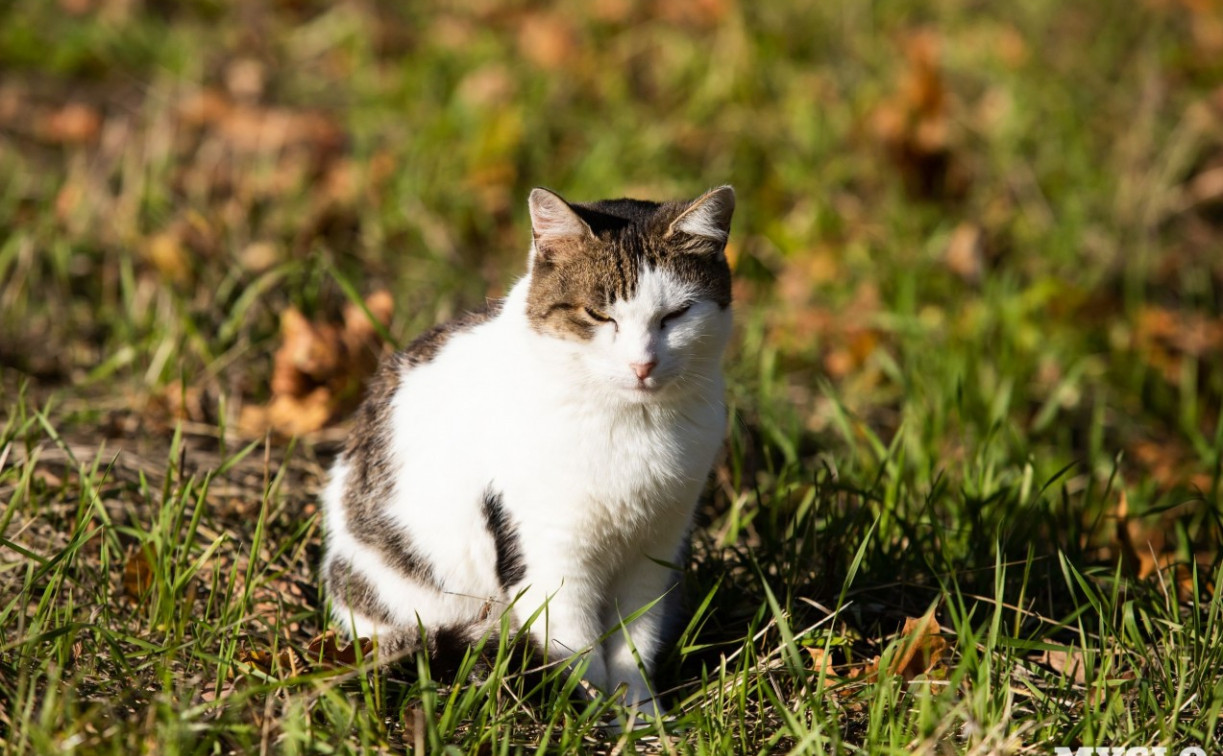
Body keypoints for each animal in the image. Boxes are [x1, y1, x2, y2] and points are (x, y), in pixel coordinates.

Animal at [320, 183, 728, 714]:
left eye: (676, 314)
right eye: (598, 314)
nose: (642, 365)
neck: (630, 423)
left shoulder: (655, 550)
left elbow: (634, 642)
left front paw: (638, 714)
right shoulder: (549, 554)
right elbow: (577, 651)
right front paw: (585, 714)